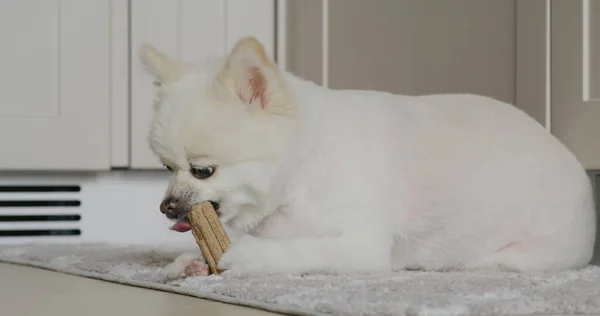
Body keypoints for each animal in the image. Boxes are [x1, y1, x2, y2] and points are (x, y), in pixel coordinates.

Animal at [139, 37, 596, 278]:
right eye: (166, 168)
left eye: (203, 171)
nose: (165, 206)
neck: (301, 174)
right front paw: (190, 262)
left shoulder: (361, 246)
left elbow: (302, 250)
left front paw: (247, 256)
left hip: (517, 258)